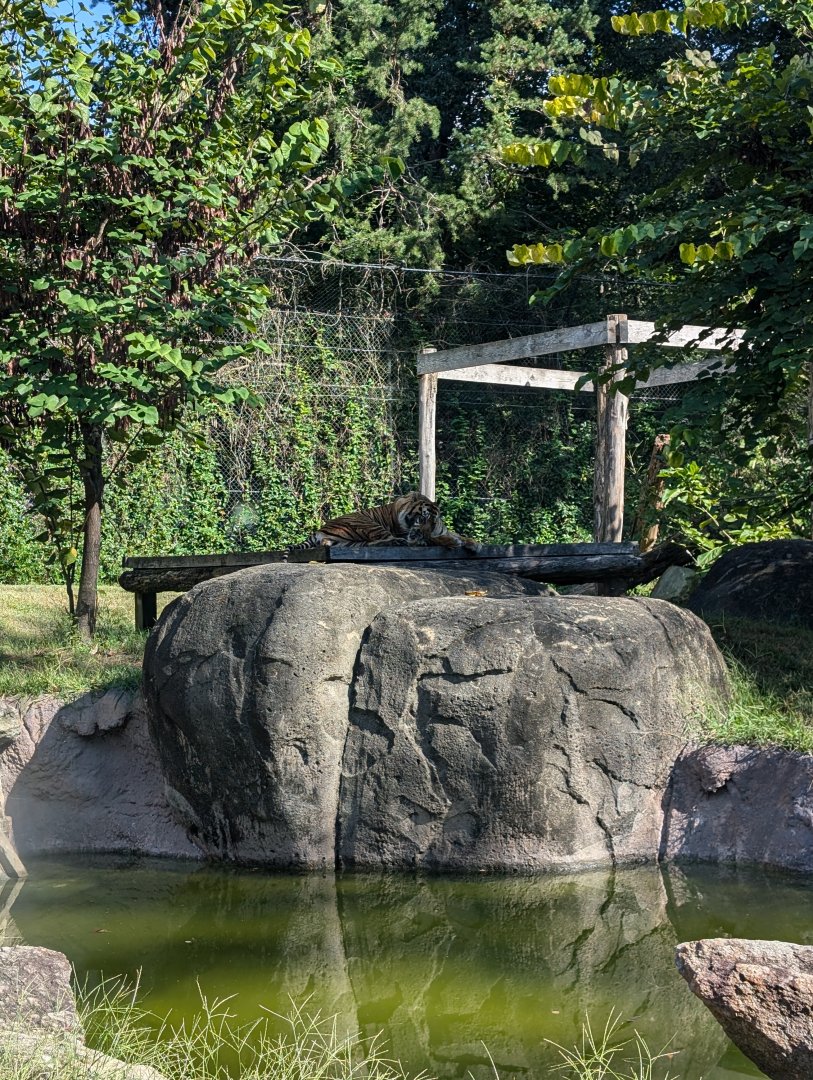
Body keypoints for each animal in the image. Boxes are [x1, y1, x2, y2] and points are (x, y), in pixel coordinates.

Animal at [289, 492, 479, 552]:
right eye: (422, 518)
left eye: (432, 523)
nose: (418, 534)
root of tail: (320, 530)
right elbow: (439, 539)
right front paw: (453, 542)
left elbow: (456, 534)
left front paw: (473, 543)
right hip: (367, 523)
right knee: (386, 540)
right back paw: (400, 542)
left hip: (346, 542)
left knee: (369, 544)